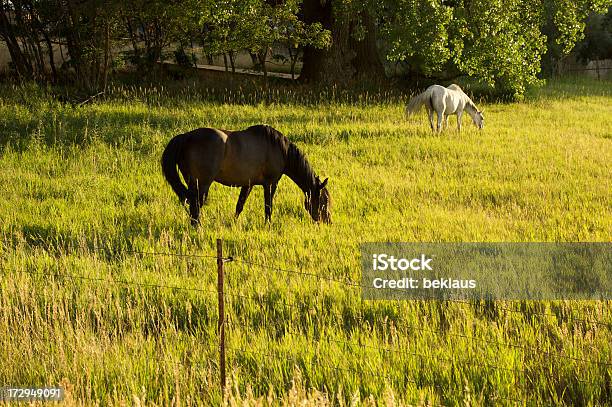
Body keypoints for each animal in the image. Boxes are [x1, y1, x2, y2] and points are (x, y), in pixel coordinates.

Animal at [159, 124, 330, 226]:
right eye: (324, 201)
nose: (328, 221)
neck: (280, 149)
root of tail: (186, 136)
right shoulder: (270, 183)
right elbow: (268, 206)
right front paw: (268, 225)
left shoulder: (248, 184)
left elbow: (239, 206)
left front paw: (234, 223)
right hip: (203, 183)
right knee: (196, 204)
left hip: (191, 182)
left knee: (191, 204)